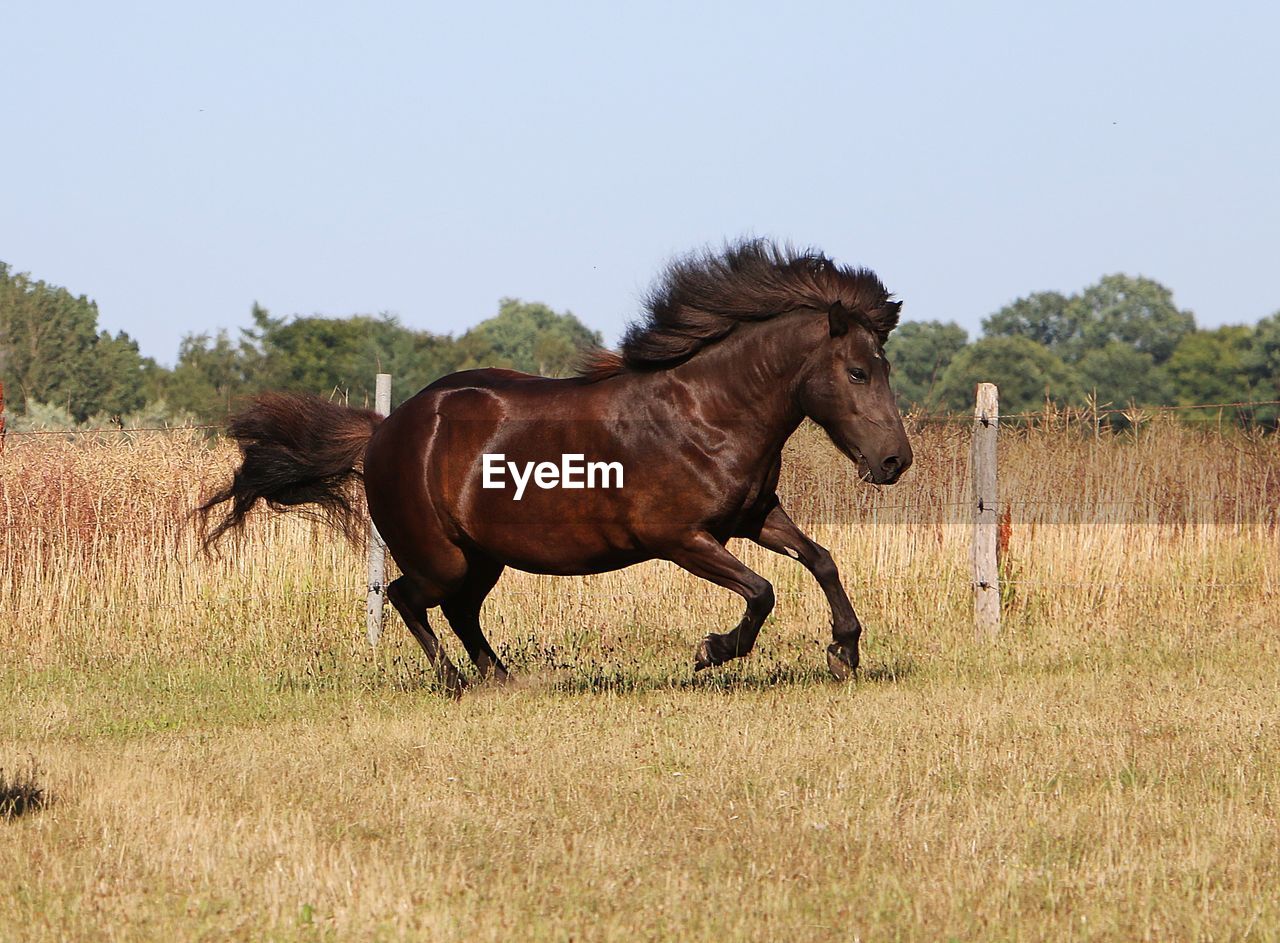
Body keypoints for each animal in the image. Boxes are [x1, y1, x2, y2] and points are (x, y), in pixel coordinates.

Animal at [202, 240, 911, 701]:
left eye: (883, 366)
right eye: (857, 372)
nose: (894, 461)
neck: (707, 413)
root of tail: (384, 431)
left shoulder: (755, 516)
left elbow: (821, 560)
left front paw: (845, 650)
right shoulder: (679, 538)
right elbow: (762, 591)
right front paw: (711, 651)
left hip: (483, 556)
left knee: (461, 611)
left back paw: (501, 678)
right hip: (443, 557)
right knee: (409, 596)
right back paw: (455, 683)